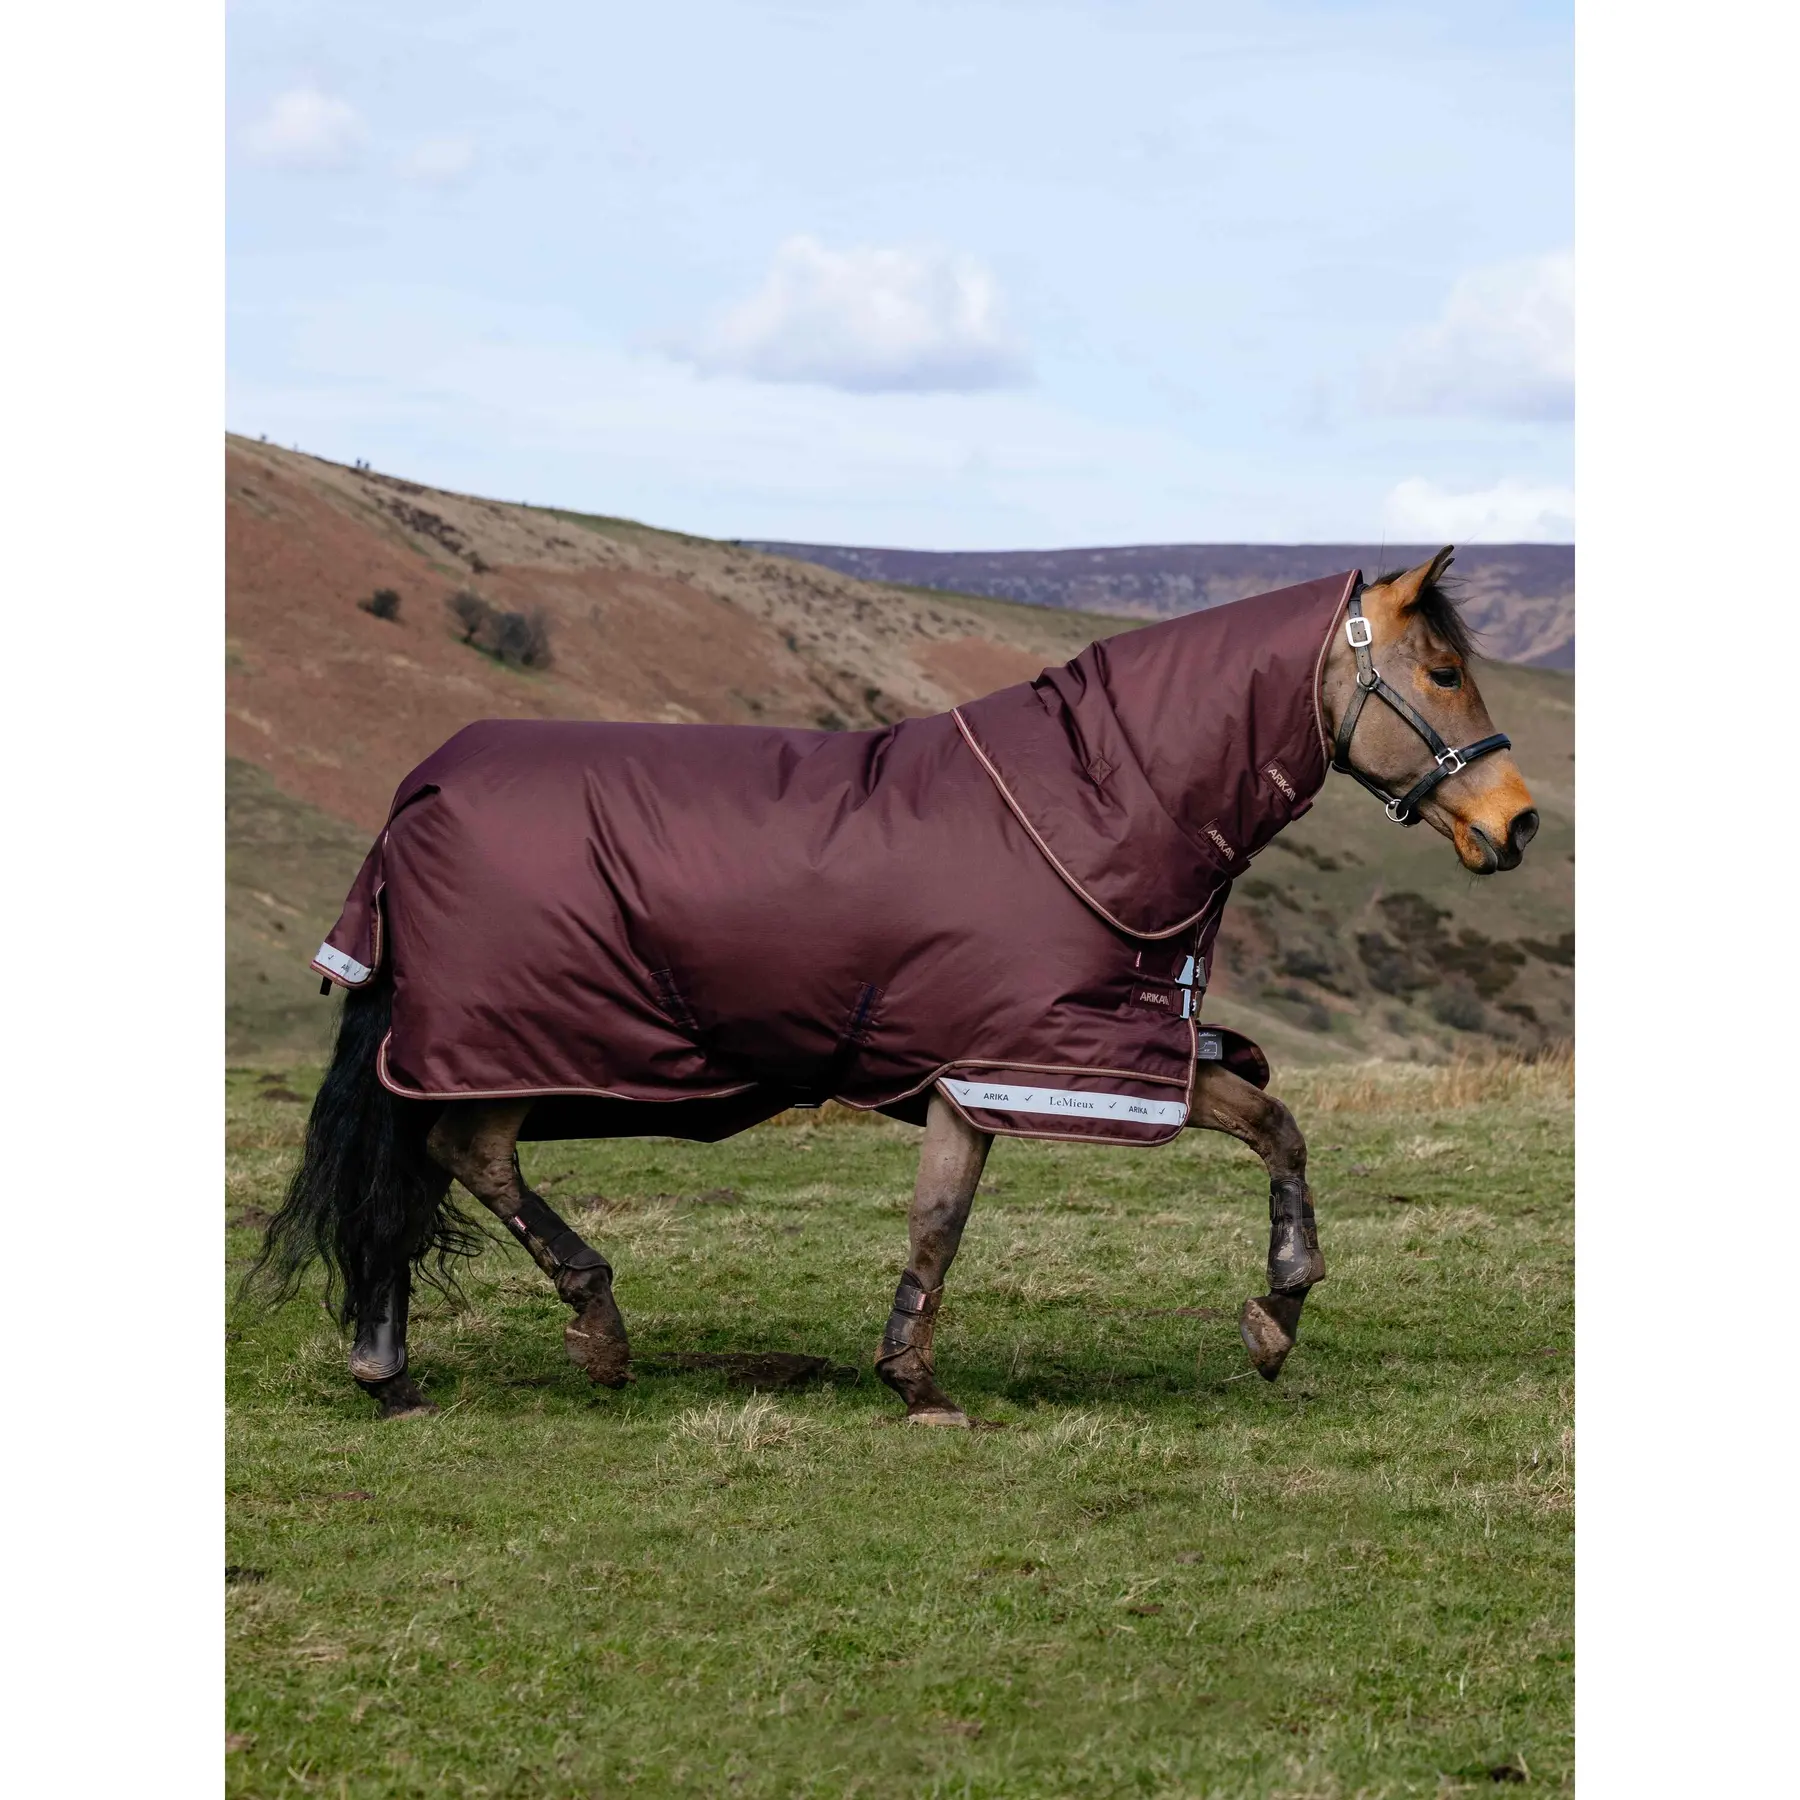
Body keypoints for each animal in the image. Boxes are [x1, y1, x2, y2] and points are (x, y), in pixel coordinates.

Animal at [251, 549, 1538, 1424]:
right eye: (1441, 670)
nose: (1518, 823)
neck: (1099, 803)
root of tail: (425, 786)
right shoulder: (1026, 1059)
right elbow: (952, 1219)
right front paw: (923, 1384)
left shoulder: (1050, 1061)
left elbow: (1269, 1131)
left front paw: (1274, 1318)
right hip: (505, 1040)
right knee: (455, 1160)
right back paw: (582, 1332)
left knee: (429, 1170)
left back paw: (403, 1368)